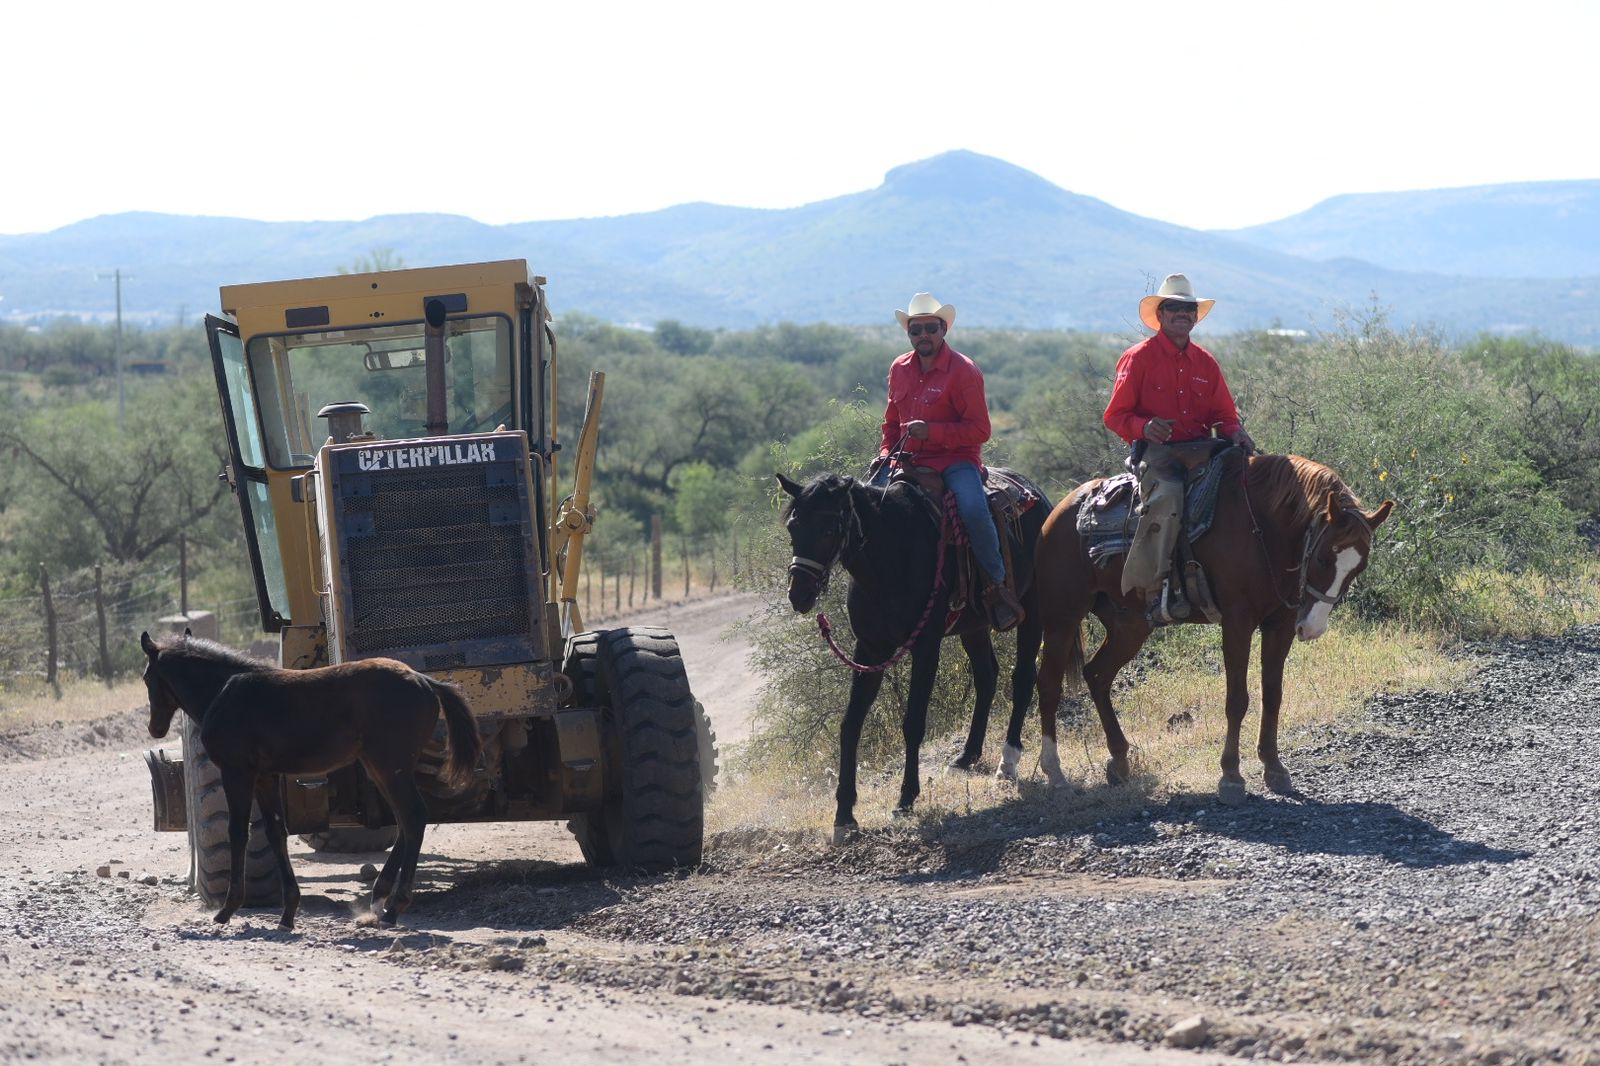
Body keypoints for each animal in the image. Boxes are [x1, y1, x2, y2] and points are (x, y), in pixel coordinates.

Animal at [139, 630, 482, 929]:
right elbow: (276, 832)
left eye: (146, 677)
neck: (223, 692)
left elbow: (237, 832)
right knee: (407, 820)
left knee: (413, 816)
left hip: (389, 766)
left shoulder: (237, 772)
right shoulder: (266, 776)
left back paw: (393, 908)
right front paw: (288, 912)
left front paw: (227, 909)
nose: (154, 728)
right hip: (382, 767)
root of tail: (424, 680)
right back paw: (380, 896)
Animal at [777, 470, 1054, 843]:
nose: (799, 595)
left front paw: (906, 799)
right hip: (973, 626)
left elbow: (913, 722)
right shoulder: (869, 650)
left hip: (1032, 608)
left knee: (1022, 677)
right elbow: (851, 724)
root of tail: (1038, 494)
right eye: (793, 527)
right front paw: (844, 814)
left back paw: (1007, 761)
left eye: (828, 529)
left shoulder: (926, 645)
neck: (891, 558)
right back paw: (967, 756)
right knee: (987, 676)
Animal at [1033, 450, 1392, 804]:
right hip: (1061, 619)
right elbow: (1237, 699)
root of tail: (1060, 511)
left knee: (1097, 675)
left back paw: (1119, 760)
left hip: (1129, 626)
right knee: (1049, 686)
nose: (1313, 628)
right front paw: (1231, 776)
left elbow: (1273, 694)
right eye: (1322, 558)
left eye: (1358, 568)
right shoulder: (1237, 621)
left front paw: (1274, 768)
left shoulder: (1281, 625)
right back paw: (1056, 775)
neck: (1262, 528)